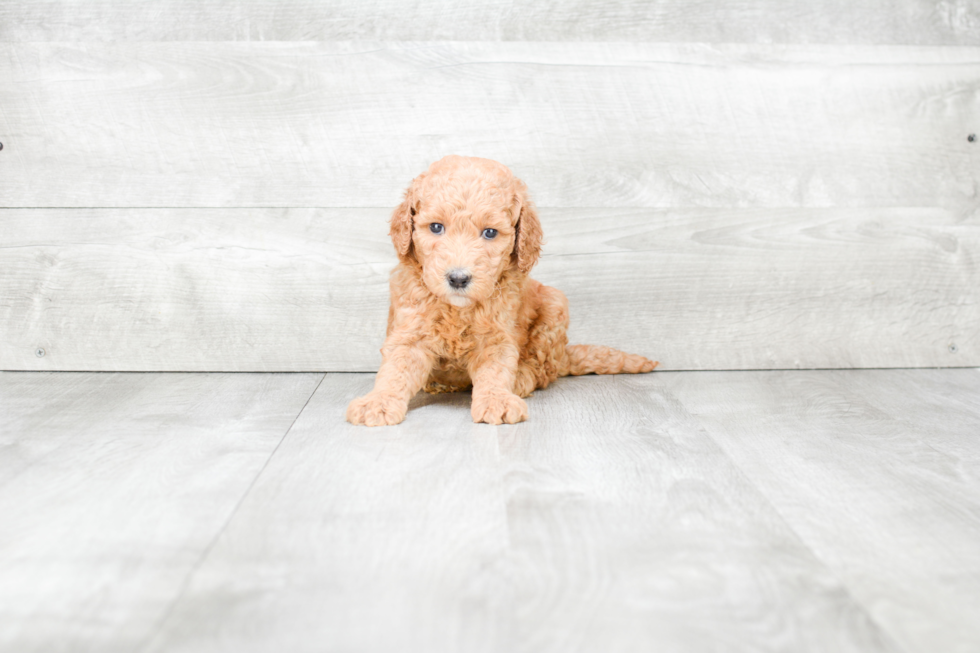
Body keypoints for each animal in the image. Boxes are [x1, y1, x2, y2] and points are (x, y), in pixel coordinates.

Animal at [344, 155, 660, 426]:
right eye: (435, 227)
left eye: (490, 233)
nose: (458, 278)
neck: (457, 309)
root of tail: (564, 356)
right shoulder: (410, 330)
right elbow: (395, 370)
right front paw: (378, 402)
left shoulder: (497, 336)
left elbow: (496, 371)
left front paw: (497, 399)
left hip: (554, 307)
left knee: (542, 370)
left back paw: (521, 378)